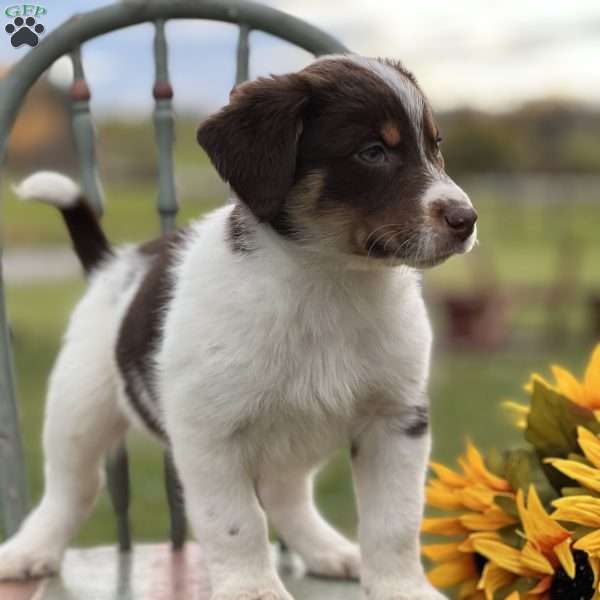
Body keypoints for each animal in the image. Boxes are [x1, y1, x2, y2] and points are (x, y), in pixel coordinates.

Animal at [0, 56, 478, 600]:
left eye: (435, 145)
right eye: (372, 152)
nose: (466, 219)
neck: (328, 283)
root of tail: (111, 264)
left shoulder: (396, 418)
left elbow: (394, 521)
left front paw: (403, 589)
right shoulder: (209, 432)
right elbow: (235, 521)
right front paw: (252, 589)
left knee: (287, 494)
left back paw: (327, 550)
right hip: (79, 408)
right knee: (71, 489)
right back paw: (28, 552)